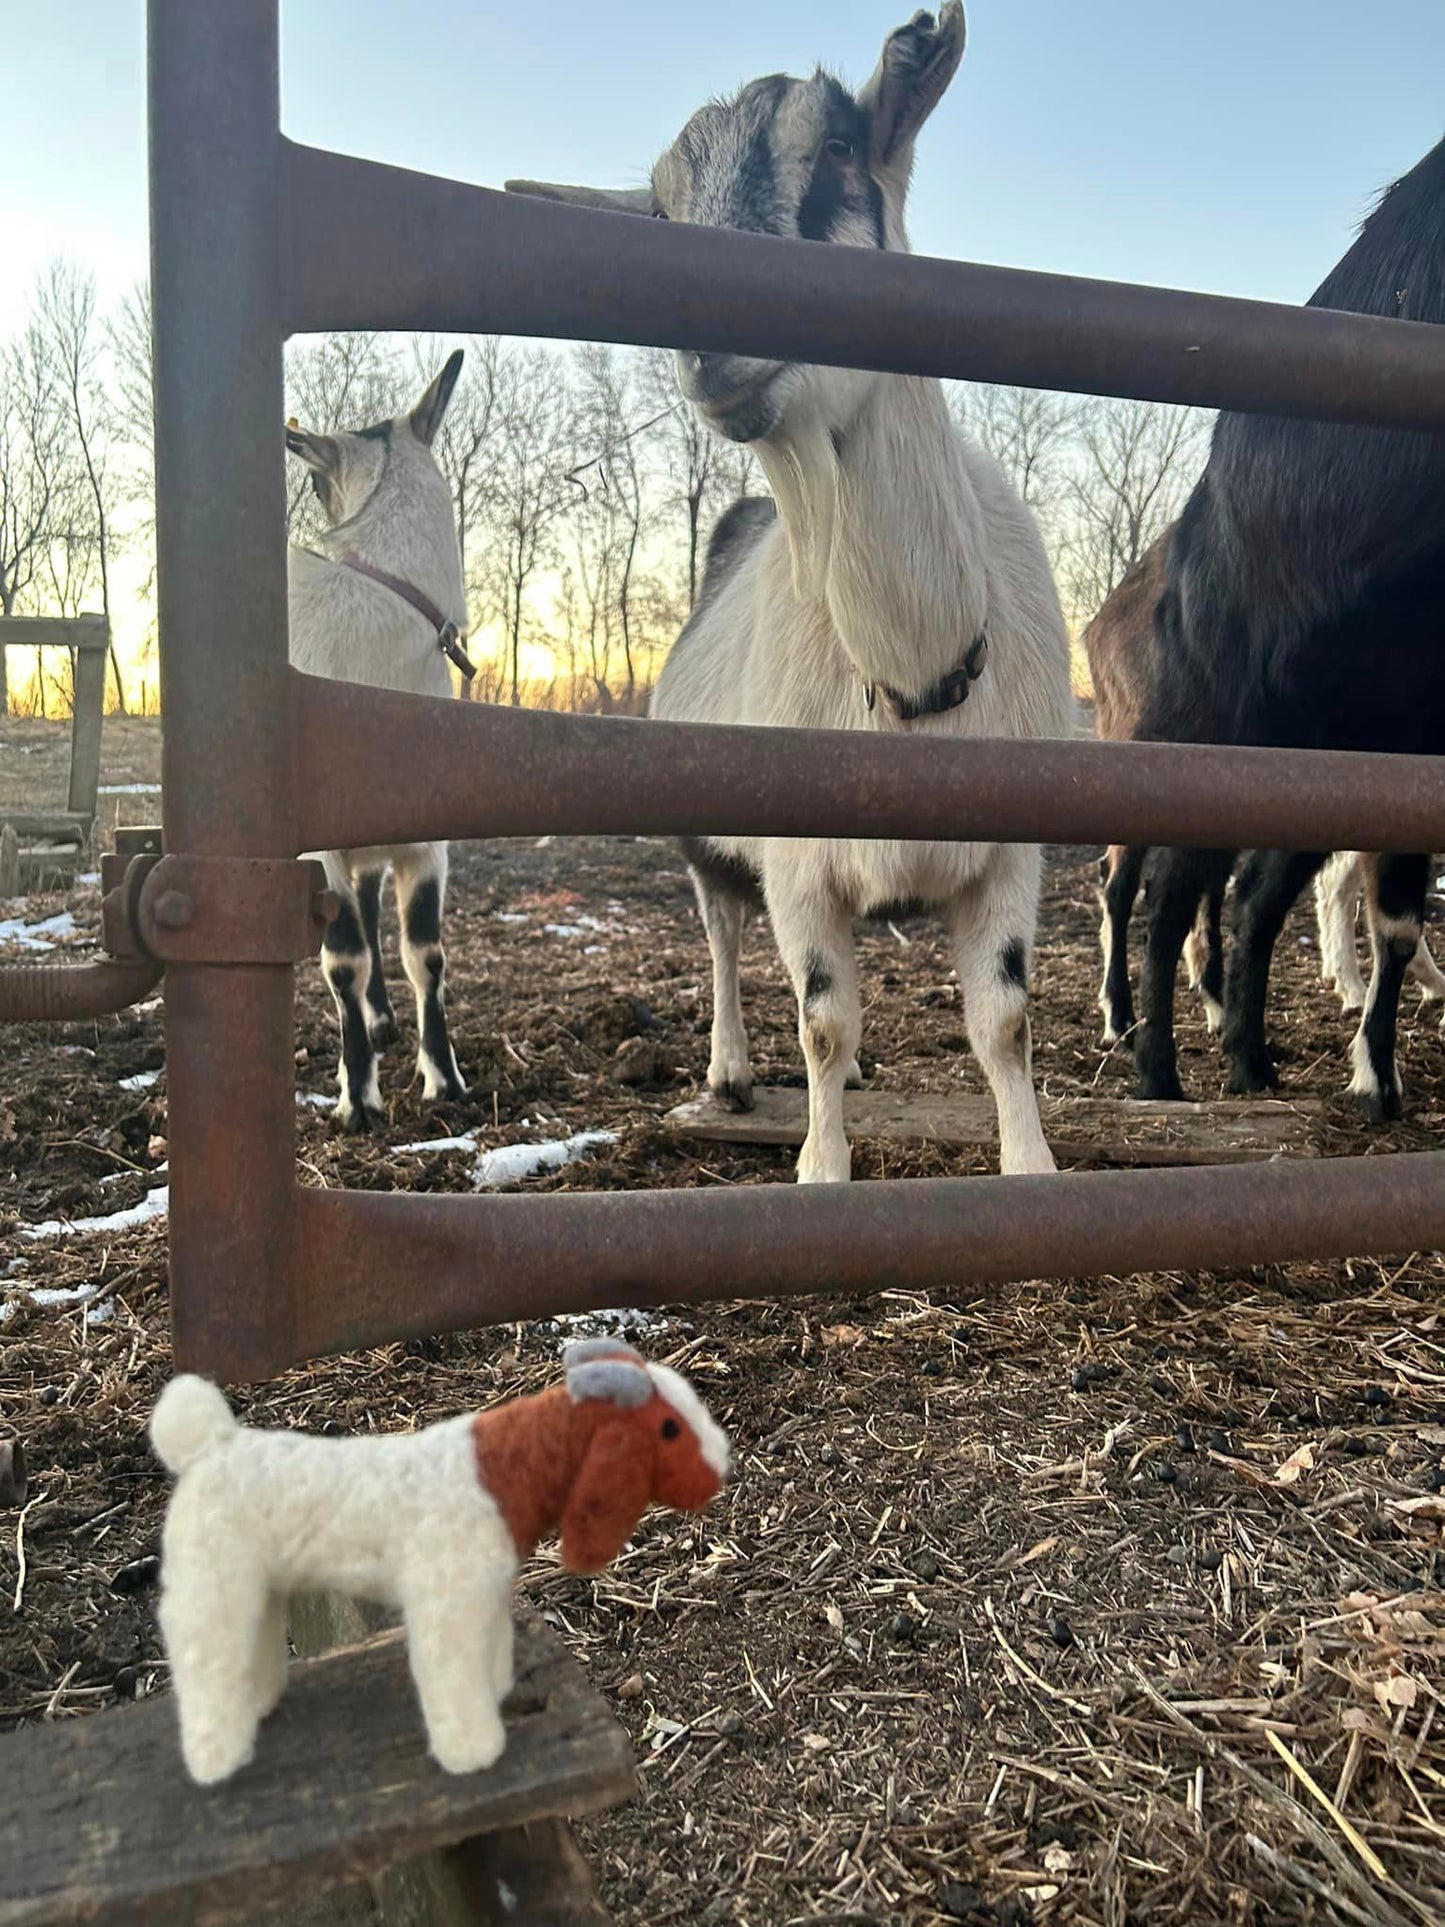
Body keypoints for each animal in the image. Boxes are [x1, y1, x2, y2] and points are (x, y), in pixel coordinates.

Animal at [512, 3, 1078, 1171]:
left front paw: (1028, 1164)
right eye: (661, 214)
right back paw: (729, 1069)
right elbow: (820, 1016)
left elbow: (1003, 1019)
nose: (710, 343)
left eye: (839, 149)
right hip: (708, 841)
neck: (912, 668)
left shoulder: (1012, 856)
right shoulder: (796, 866)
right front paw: (820, 1165)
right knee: (724, 938)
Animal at [1132, 135, 1445, 1125]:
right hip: (1215, 743)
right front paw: (1376, 1074)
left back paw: (1247, 1058)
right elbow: (1395, 914)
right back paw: (1158, 1070)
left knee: (1254, 898)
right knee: (1172, 896)